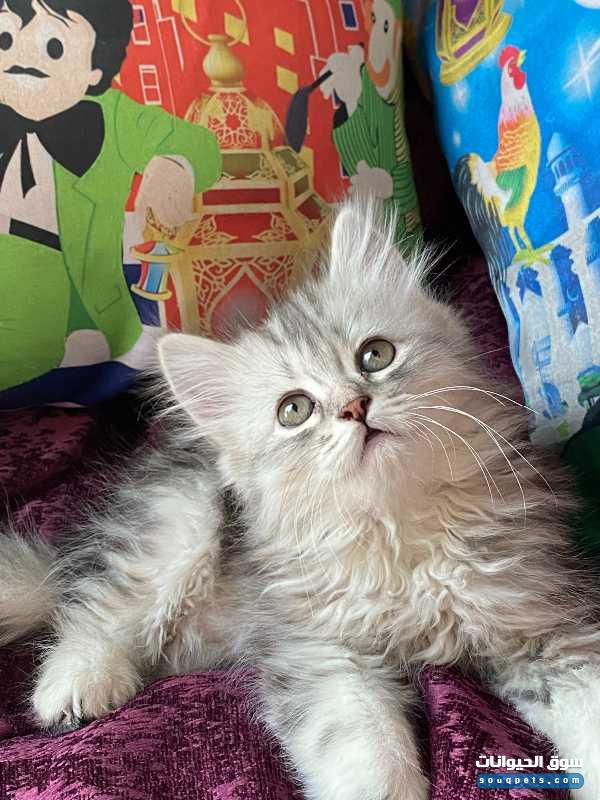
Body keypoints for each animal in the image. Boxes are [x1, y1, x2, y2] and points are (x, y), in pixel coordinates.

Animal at [1, 197, 599, 800]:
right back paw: (75, 686)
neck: (399, 530)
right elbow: (367, 757)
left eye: (375, 355)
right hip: (175, 522)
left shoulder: (545, 619)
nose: (355, 407)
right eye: (294, 410)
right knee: (95, 609)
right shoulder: (321, 653)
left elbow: (587, 709)